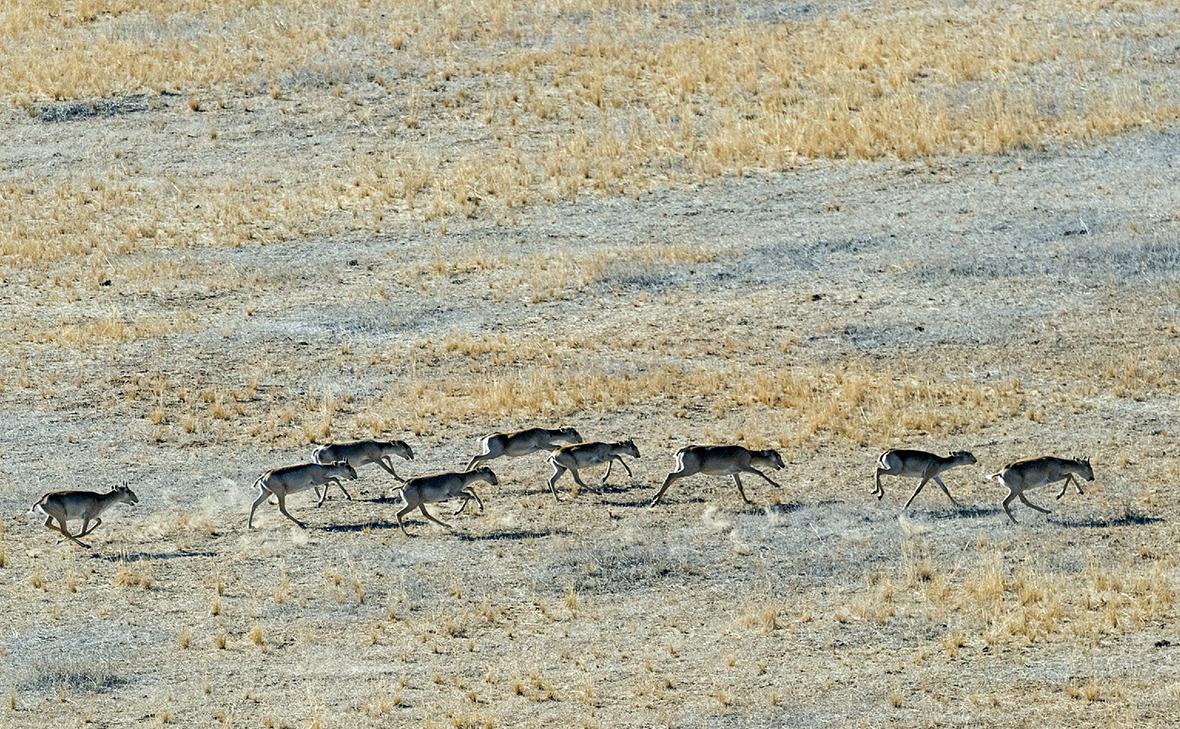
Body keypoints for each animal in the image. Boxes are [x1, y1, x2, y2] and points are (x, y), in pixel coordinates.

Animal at [646, 443, 783, 504]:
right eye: (777, 456)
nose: (783, 465)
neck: (750, 454)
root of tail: (682, 450)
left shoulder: (735, 473)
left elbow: (740, 487)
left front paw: (747, 501)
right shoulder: (745, 467)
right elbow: (760, 472)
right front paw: (776, 484)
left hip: (681, 468)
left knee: (671, 478)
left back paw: (655, 498)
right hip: (688, 470)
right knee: (671, 475)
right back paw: (655, 500)